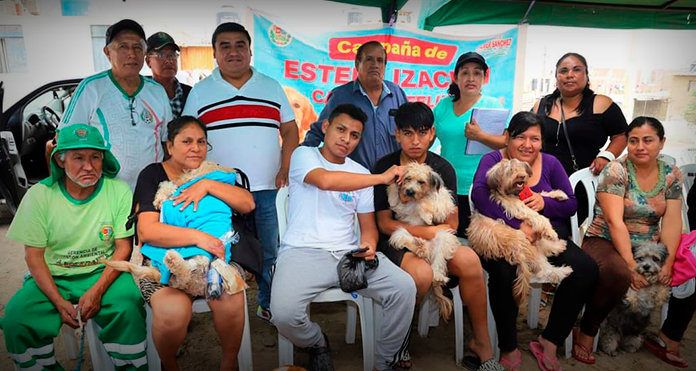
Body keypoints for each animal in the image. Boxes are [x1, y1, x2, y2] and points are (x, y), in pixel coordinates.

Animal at [107, 161, 249, 298]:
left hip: (201, 256)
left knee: (184, 272)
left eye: (191, 170)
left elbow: (168, 197)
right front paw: (161, 196)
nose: (179, 178)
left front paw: (162, 196)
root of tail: (192, 287)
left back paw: (173, 260)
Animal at [386, 164, 462, 322]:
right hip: (399, 232)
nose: (409, 191)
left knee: (438, 262)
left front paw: (426, 216)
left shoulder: (443, 205)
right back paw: (419, 245)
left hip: (444, 236)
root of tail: (427, 254)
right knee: (410, 242)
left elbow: (424, 203)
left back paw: (437, 274)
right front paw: (393, 195)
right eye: (408, 179)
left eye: (421, 182)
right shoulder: (402, 208)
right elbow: (393, 190)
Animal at [464, 158, 572, 304]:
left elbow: (540, 194)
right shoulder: (518, 207)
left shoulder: (529, 199)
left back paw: (558, 245)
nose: (521, 176)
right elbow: (537, 216)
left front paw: (559, 194)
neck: (512, 193)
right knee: (544, 270)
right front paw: (550, 230)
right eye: (509, 171)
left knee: (544, 248)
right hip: (522, 241)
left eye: (520, 167)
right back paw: (563, 270)